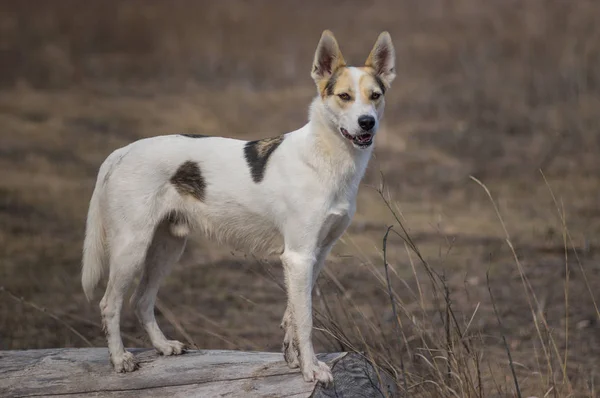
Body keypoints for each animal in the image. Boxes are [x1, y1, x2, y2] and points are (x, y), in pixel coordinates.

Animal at [82, 29, 396, 384]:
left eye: (375, 96)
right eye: (344, 96)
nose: (367, 122)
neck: (327, 159)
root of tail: (121, 151)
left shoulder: (316, 256)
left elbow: (291, 316)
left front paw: (292, 358)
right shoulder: (299, 257)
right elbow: (305, 320)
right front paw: (311, 369)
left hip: (167, 248)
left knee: (141, 299)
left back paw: (163, 346)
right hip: (130, 249)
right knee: (110, 303)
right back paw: (120, 359)